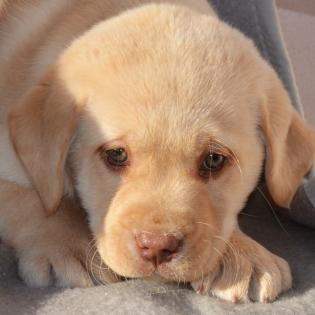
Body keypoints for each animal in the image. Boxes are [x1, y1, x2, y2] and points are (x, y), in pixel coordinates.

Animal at [0, 0, 314, 304]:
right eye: (117, 155)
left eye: (214, 159)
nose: (157, 247)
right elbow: (24, 196)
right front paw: (70, 243)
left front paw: (244, 255)